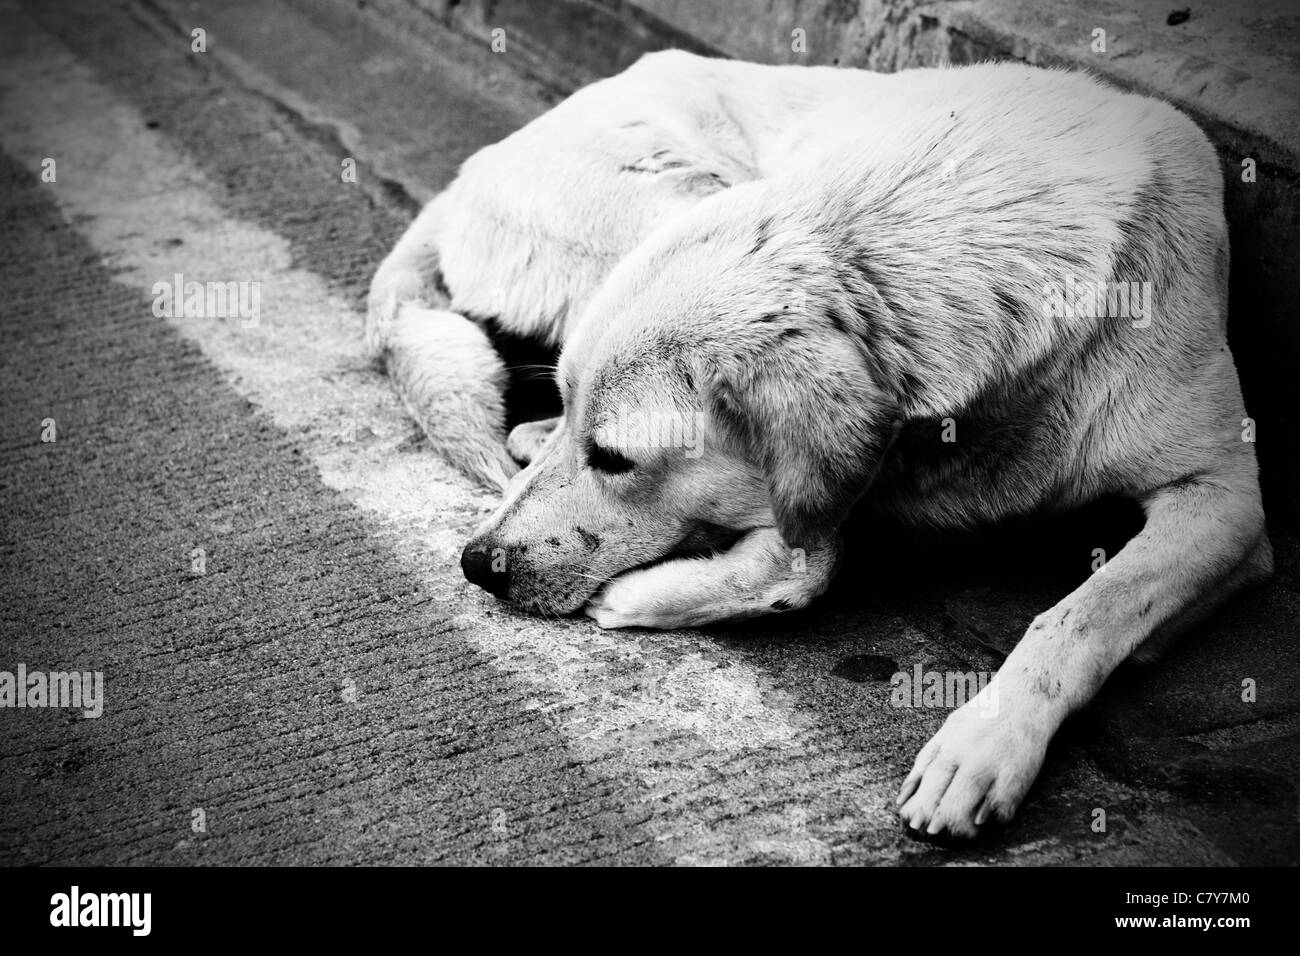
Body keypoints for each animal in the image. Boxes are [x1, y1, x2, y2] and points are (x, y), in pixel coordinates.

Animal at [364, 52, 1268, 842]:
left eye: (616, 460)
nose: (475, 564)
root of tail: (465, 174)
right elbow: (812, 556)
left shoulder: (1228, 503)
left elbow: (1084, 613)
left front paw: (986, 743)